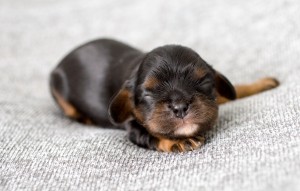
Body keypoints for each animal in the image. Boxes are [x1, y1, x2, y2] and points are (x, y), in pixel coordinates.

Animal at [49, 38, 278, 152]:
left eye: (203, 82)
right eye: (149, 94)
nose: (180, 106)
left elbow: (234, 90)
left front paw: (260, 83)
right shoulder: (134, 128)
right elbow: (153, 135)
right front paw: (180, 141)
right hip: (56, 87)